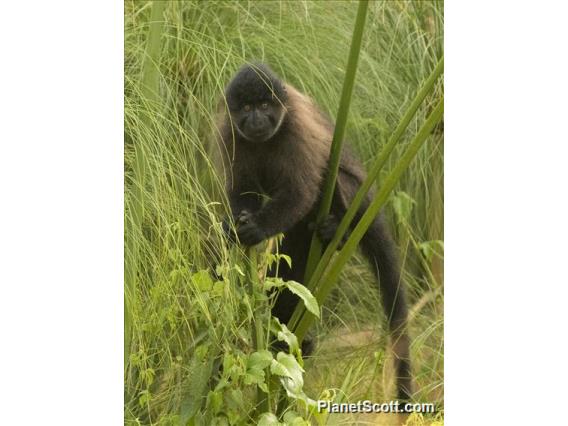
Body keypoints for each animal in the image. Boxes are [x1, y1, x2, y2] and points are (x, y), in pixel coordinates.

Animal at [219, 63, 412, 402]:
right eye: (247, 107)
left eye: (264, 105)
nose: (256, 118)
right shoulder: (230, 131)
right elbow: (241, 191)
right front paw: (235, 225)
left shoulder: (297, 128)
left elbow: (301, 191)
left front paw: (257, 228)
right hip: (299, 235)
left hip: (357, 200)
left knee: (331, 178)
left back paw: (337, 231)